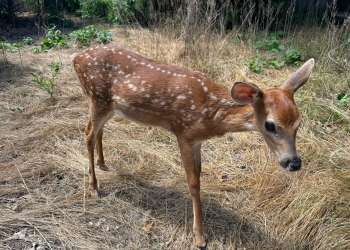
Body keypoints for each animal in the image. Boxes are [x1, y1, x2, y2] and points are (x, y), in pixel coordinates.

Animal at [73, 45, 314, 250]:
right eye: (270, 125)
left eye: (299, 123)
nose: (293, 162)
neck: (211, 114)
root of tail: (77, 57)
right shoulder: (184, 133)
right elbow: (193, 183)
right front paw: (200, 237)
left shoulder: (197, 140)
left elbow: (199, 176)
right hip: (97, 98)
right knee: (87, 134)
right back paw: (94, 186)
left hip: (108, 105)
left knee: (98, 131)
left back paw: (103, 163)